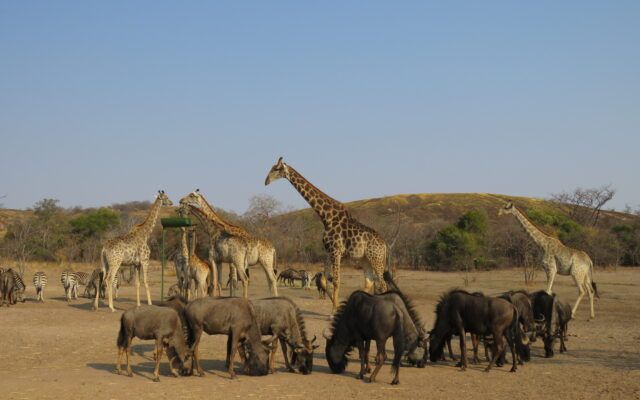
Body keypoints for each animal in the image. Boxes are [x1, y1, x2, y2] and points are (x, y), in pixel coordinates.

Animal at [265, 157, 388, 314]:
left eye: (276, 169)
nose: (266, 181)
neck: (326, 217)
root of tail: (384, 245)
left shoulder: (336, 251)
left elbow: (336, 280)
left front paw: (333, 311)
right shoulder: (328, 251)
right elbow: (325, 278)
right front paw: (335, 308)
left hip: (375, 258)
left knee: (382, 284)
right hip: (364, 259)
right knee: (369, 282)